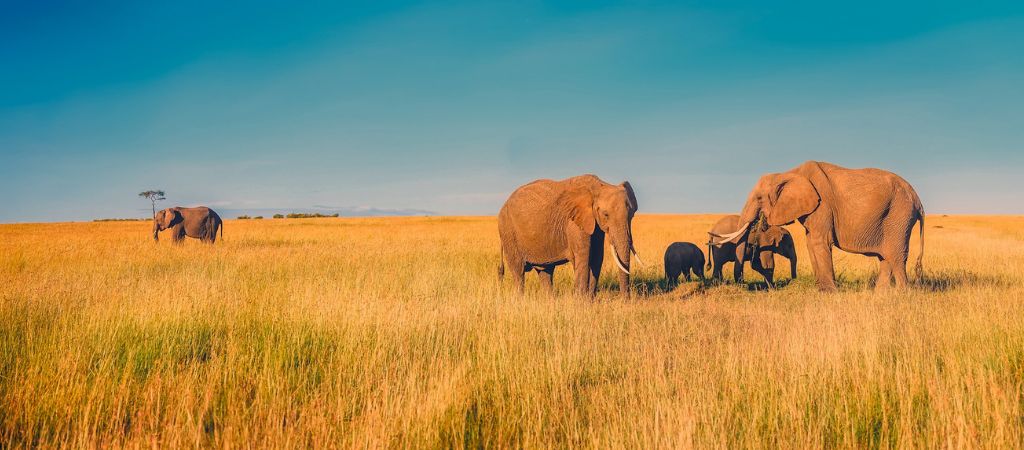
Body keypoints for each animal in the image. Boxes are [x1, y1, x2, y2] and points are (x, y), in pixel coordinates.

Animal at [497, 174, 640, 297]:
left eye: (632, 215)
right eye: (606, 214)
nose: (625, 300)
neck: (599, 186)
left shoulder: (594, 224)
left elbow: (597, 257)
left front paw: (589, 300)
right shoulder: (574, 223)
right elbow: (584, 257)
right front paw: (581, 301)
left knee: (545, 272)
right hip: (508, 232)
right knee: (518, 272)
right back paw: (520, 299)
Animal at [709, 161, 924, 292]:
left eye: (759, 198)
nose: (793, 280)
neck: (790, 173)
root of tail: (918, 201)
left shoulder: (823, 204)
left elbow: (820, 242)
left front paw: (830, 292)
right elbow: (810, 242)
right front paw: (820, 288)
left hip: (899, 215)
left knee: (896, 255)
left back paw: (901, 294)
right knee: (885, 257)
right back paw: (880, 294)